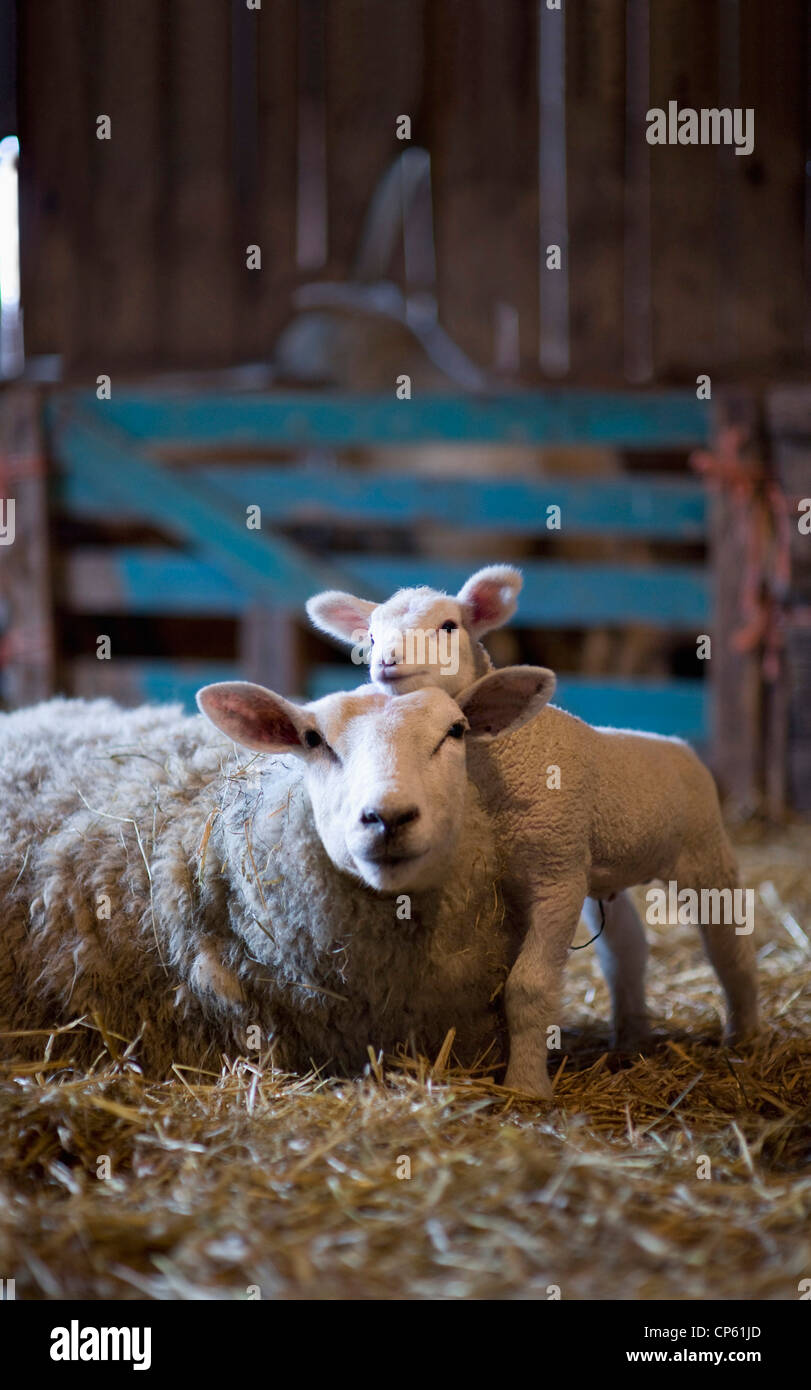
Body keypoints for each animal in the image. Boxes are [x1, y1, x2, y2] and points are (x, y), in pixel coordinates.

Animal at [306, 573, 759, 1098]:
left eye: (448, 625)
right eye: (372, 636)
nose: (386, 662)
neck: (504, 753)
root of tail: (678, 746)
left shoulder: (555, 878)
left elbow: (529, 987)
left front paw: (525, 1086)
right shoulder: (519, 880)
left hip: (705, 853)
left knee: (729, 945)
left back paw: (745, 1036)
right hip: (599, 868)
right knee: (627, 949)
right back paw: (631, 1038)